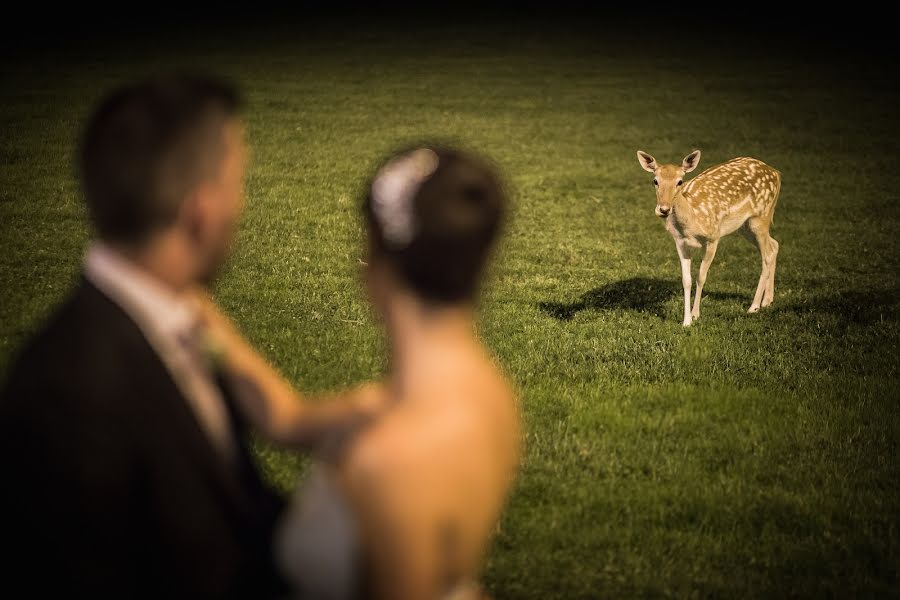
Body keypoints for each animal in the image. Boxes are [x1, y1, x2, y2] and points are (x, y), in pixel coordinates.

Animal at [640, 152, 780, 326]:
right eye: (655, 180)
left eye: (680, 181)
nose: (664, 209)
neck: (692, 220)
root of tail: (776, 173)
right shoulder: (679, 241)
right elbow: (686, 280)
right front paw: (686, 321)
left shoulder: (713, 237)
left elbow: (701, 277)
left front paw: (695, 314)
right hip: (744, 226)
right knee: (774, 245)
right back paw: (767, 301)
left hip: (760, 217)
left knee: (767, 254)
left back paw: (754, 307)